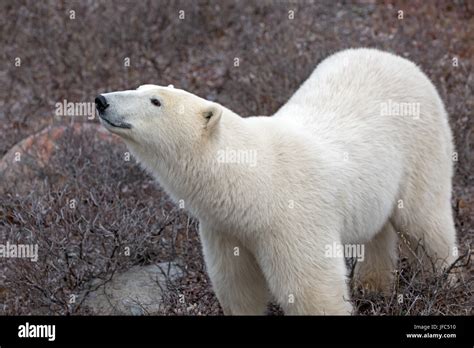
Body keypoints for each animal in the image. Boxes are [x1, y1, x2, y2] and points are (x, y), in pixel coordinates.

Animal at [95, 48, 456, 316]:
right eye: (139, 88)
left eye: (155, 101)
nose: (101, 100)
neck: (252, 183)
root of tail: (398, 59)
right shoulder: (225, 229)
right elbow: (237, 286)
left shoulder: (292, 219)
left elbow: (312, 289)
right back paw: (373, 287)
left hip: (420, 146)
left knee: (425, 220)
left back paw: (446, 281)